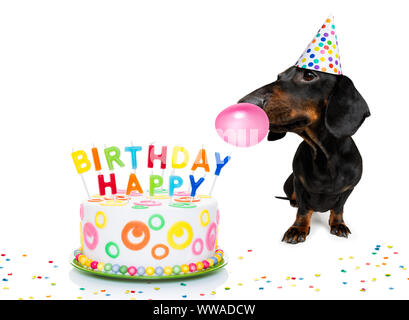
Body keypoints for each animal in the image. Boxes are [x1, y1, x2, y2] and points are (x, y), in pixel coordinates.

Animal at [237, 66, 368, 244]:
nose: (244, 104)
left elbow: (338, 208)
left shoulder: (349, 189)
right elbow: (304, 209)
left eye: (309, 75)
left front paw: (338, 224)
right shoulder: (299, 184)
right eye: (278, 76)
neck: (324, 158)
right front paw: (298, 228)